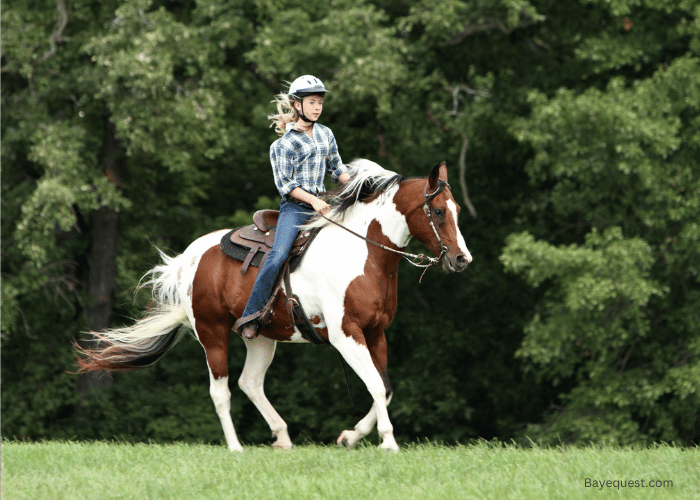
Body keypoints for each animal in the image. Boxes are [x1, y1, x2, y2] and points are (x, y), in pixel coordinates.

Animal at [74, 158, 470, 452]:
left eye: (457, 209)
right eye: (437, 211)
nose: (462, 259)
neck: (363, 253)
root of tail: (188, 259)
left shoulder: (376, 333)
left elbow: (384, 388)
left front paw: (350, 436)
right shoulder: (346, 335)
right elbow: (373, 383)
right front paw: (388, 443)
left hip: (260, 336)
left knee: (250, 382)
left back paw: (281, 437)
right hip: (212, 333)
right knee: (221, 391)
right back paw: (236, 447)